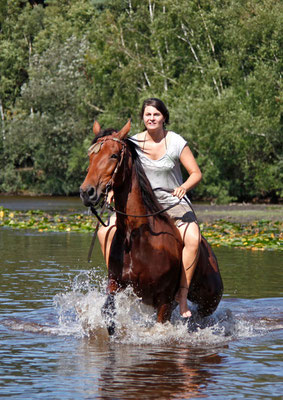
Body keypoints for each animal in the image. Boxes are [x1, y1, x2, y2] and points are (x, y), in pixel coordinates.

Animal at [80, 120, 224, 332]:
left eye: (114, 155)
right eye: (91, 155)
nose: (87, 192)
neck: (138, 237)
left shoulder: (164, 301)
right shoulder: (116, 285)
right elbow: (108, 313)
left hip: (209, 301)